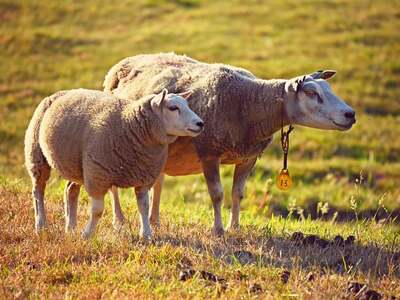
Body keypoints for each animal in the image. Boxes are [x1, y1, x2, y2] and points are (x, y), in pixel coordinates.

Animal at [25, 88, 205, 238]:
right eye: (173, 108)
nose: (200, 124)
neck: (129, 124)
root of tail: (60, 93)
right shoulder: (98, 175)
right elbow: (98, 211)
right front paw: (87, 235)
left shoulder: (144, 177)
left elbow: (144, 207)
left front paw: (146, 234)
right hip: (36, 154)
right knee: (38, 191)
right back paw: (41, 225)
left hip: (77, 166)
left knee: (70, 191)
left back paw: (71, 228)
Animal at [102, 52, 356, 236]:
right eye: (312, 93)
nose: (350, 114)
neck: (249, 103)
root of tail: (125, 62)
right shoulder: (209, 152)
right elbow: (217, 194)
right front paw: (218, 229)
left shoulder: (248, 156)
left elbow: (238, 193)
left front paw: (235, 227)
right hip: (116, 142)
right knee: (114, 186)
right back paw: (119, 220)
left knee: (158, 183)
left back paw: (154, 220)